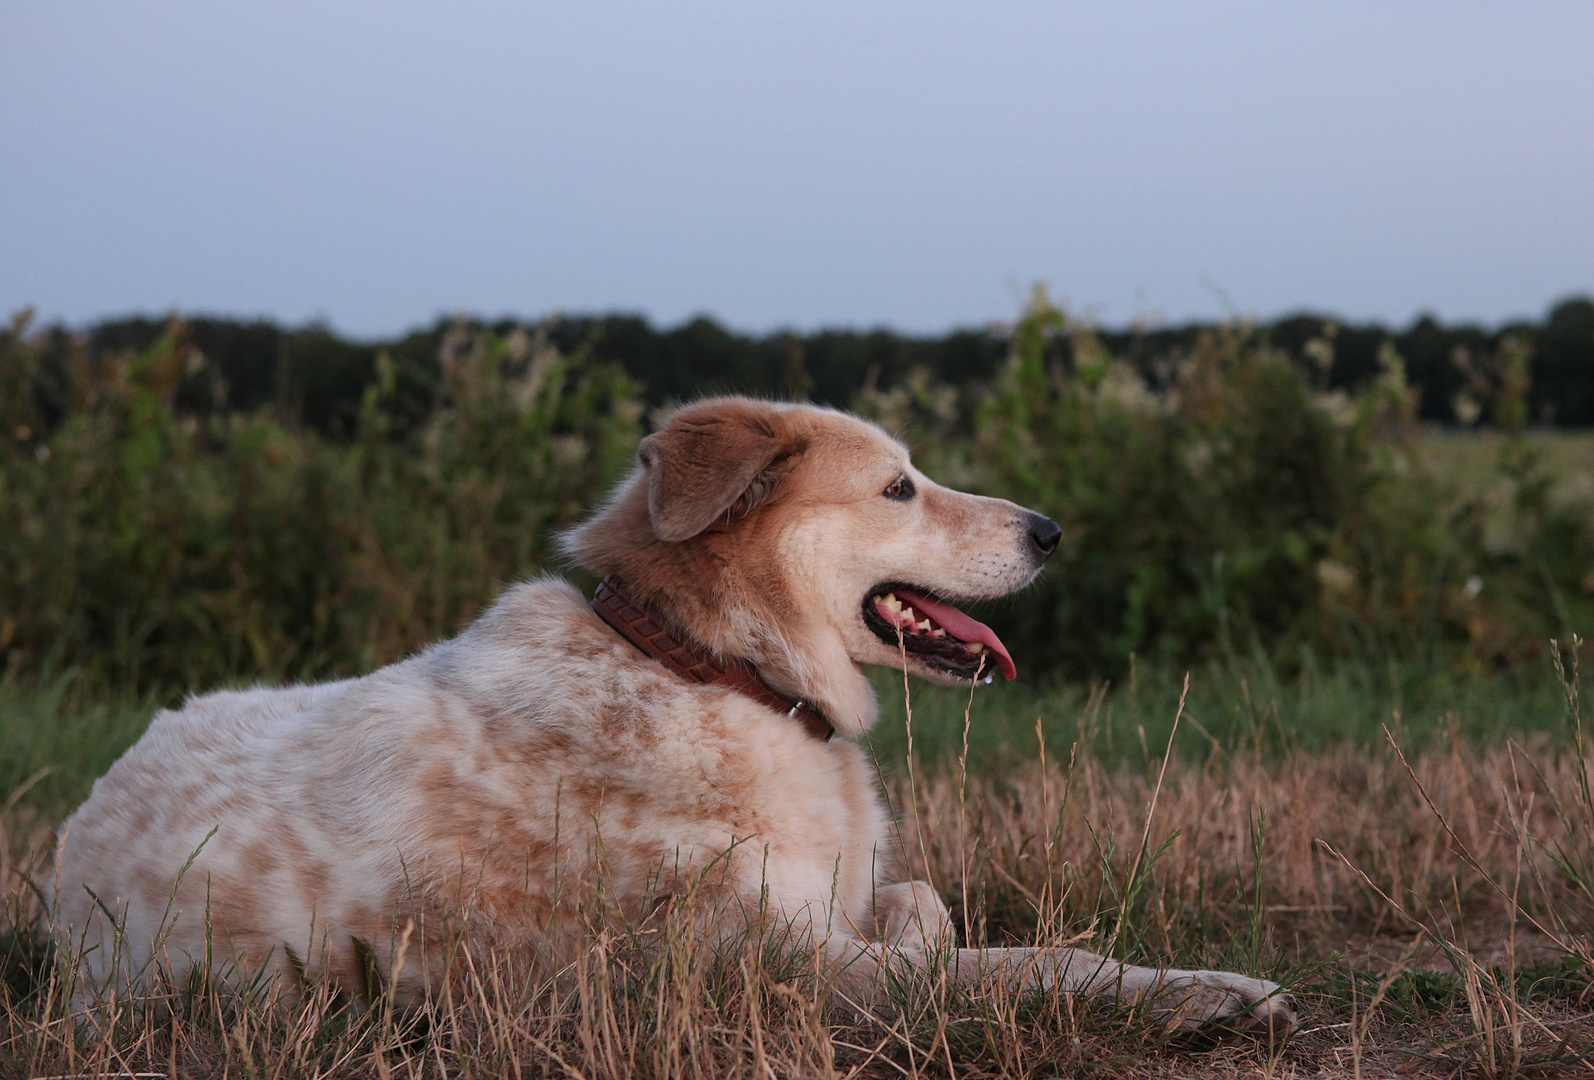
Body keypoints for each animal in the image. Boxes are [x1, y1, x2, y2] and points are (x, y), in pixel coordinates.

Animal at [53, 398, 1294, 1032]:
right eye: (897, 487)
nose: (1049, 531)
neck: (711, 666)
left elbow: (930, 907)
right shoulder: (779, 975)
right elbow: (1025, 965)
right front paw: (1213, 995)